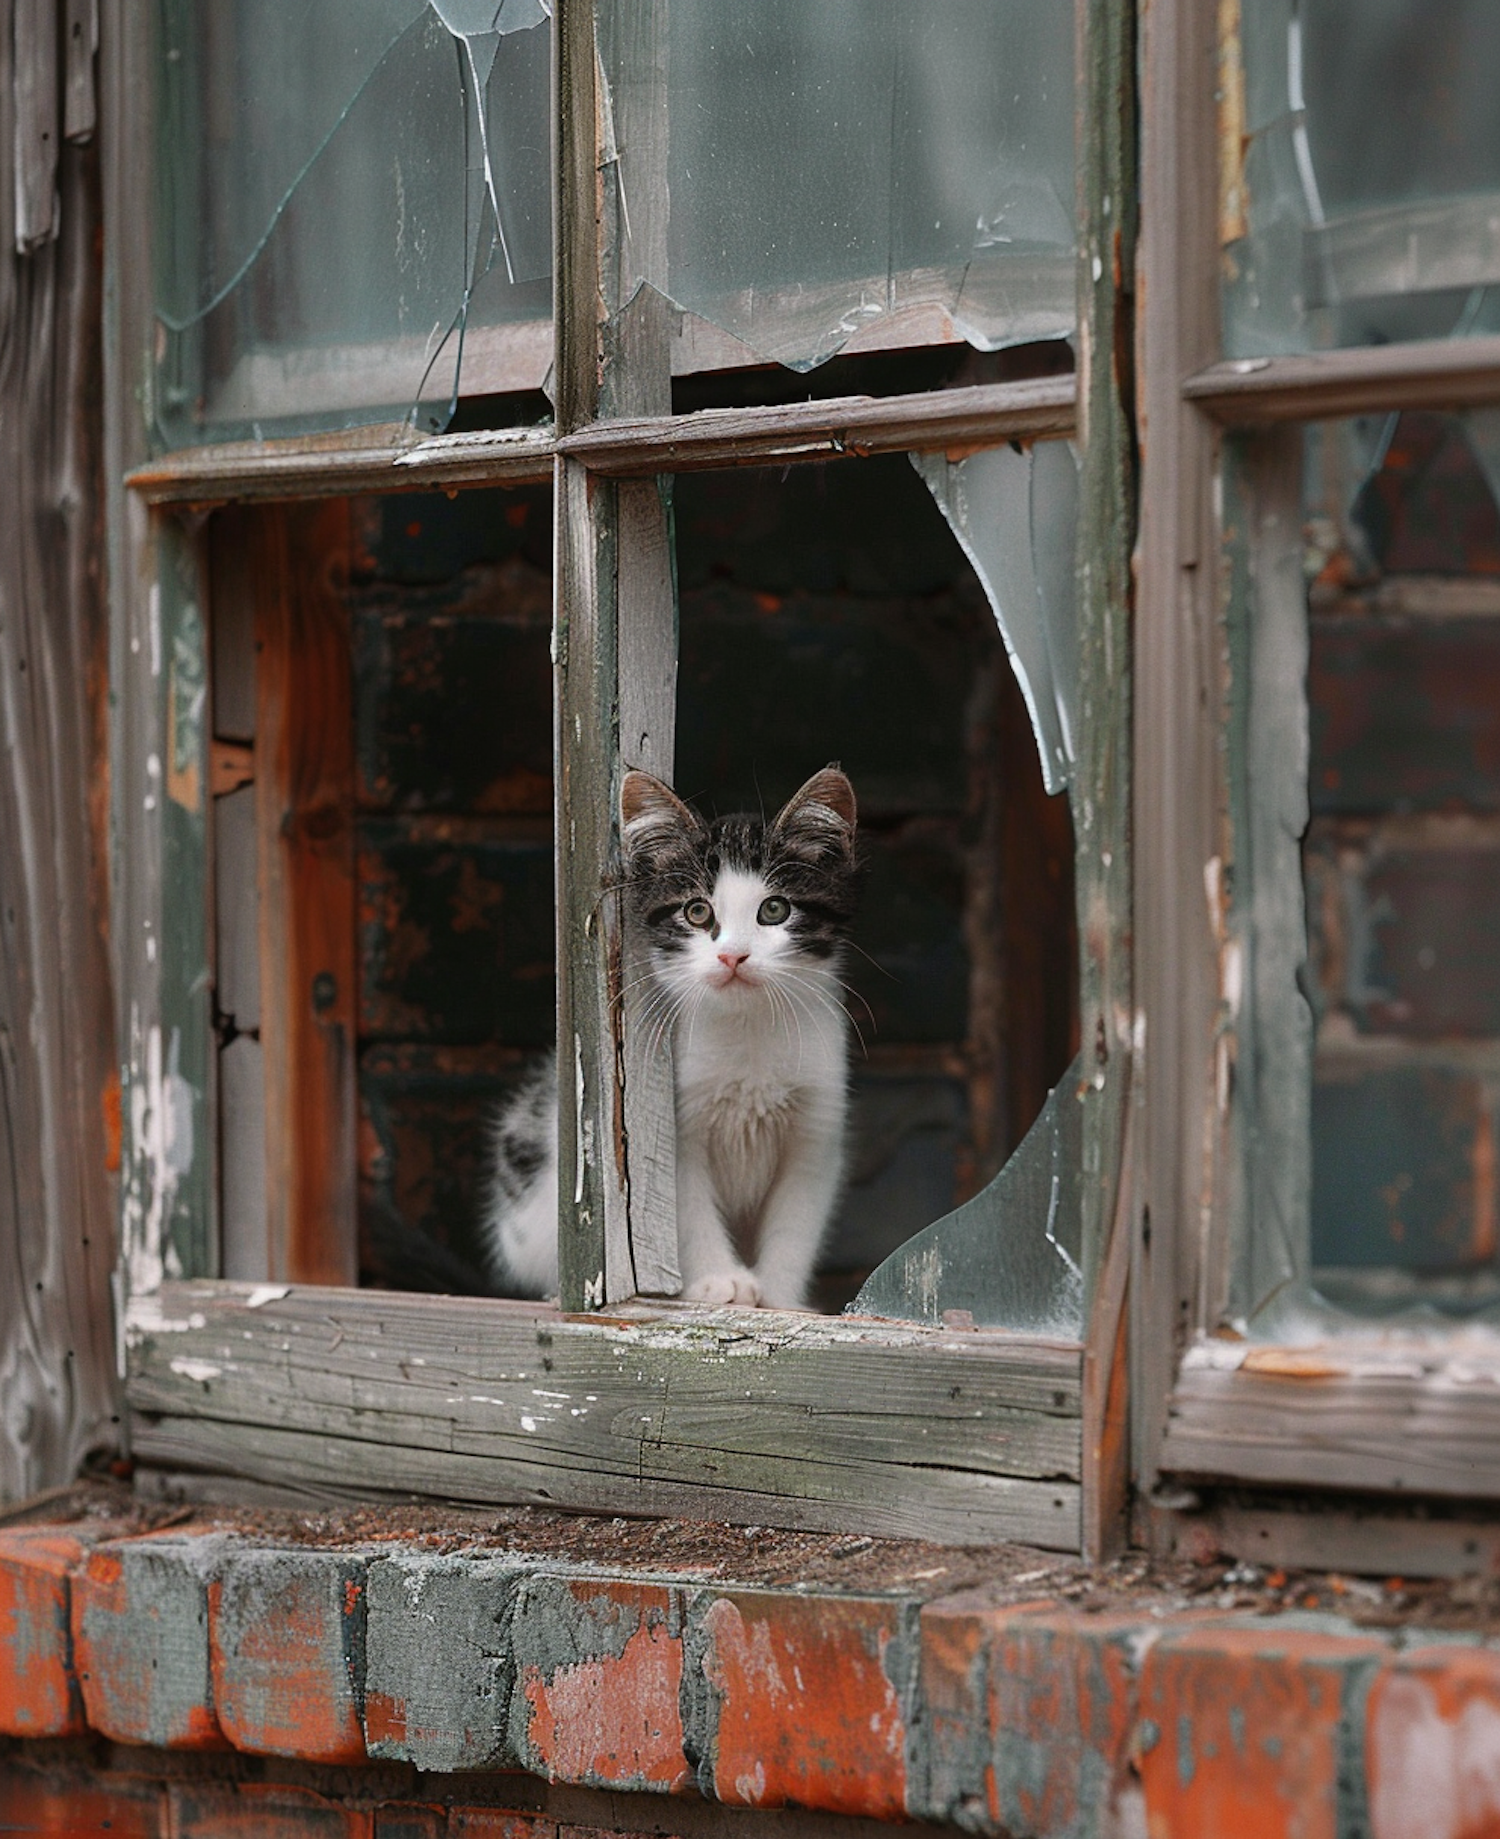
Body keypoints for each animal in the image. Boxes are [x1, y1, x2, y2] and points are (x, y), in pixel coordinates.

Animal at [481, 761, 856, 1309]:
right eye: (698, 912)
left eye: (774, 910)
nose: (733, 956)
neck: (746, 1032)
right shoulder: (663, 1129)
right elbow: (682, 1208)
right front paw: (718, 1282)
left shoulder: (816, 1129)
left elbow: (796, 1221)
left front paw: (780, 1299)